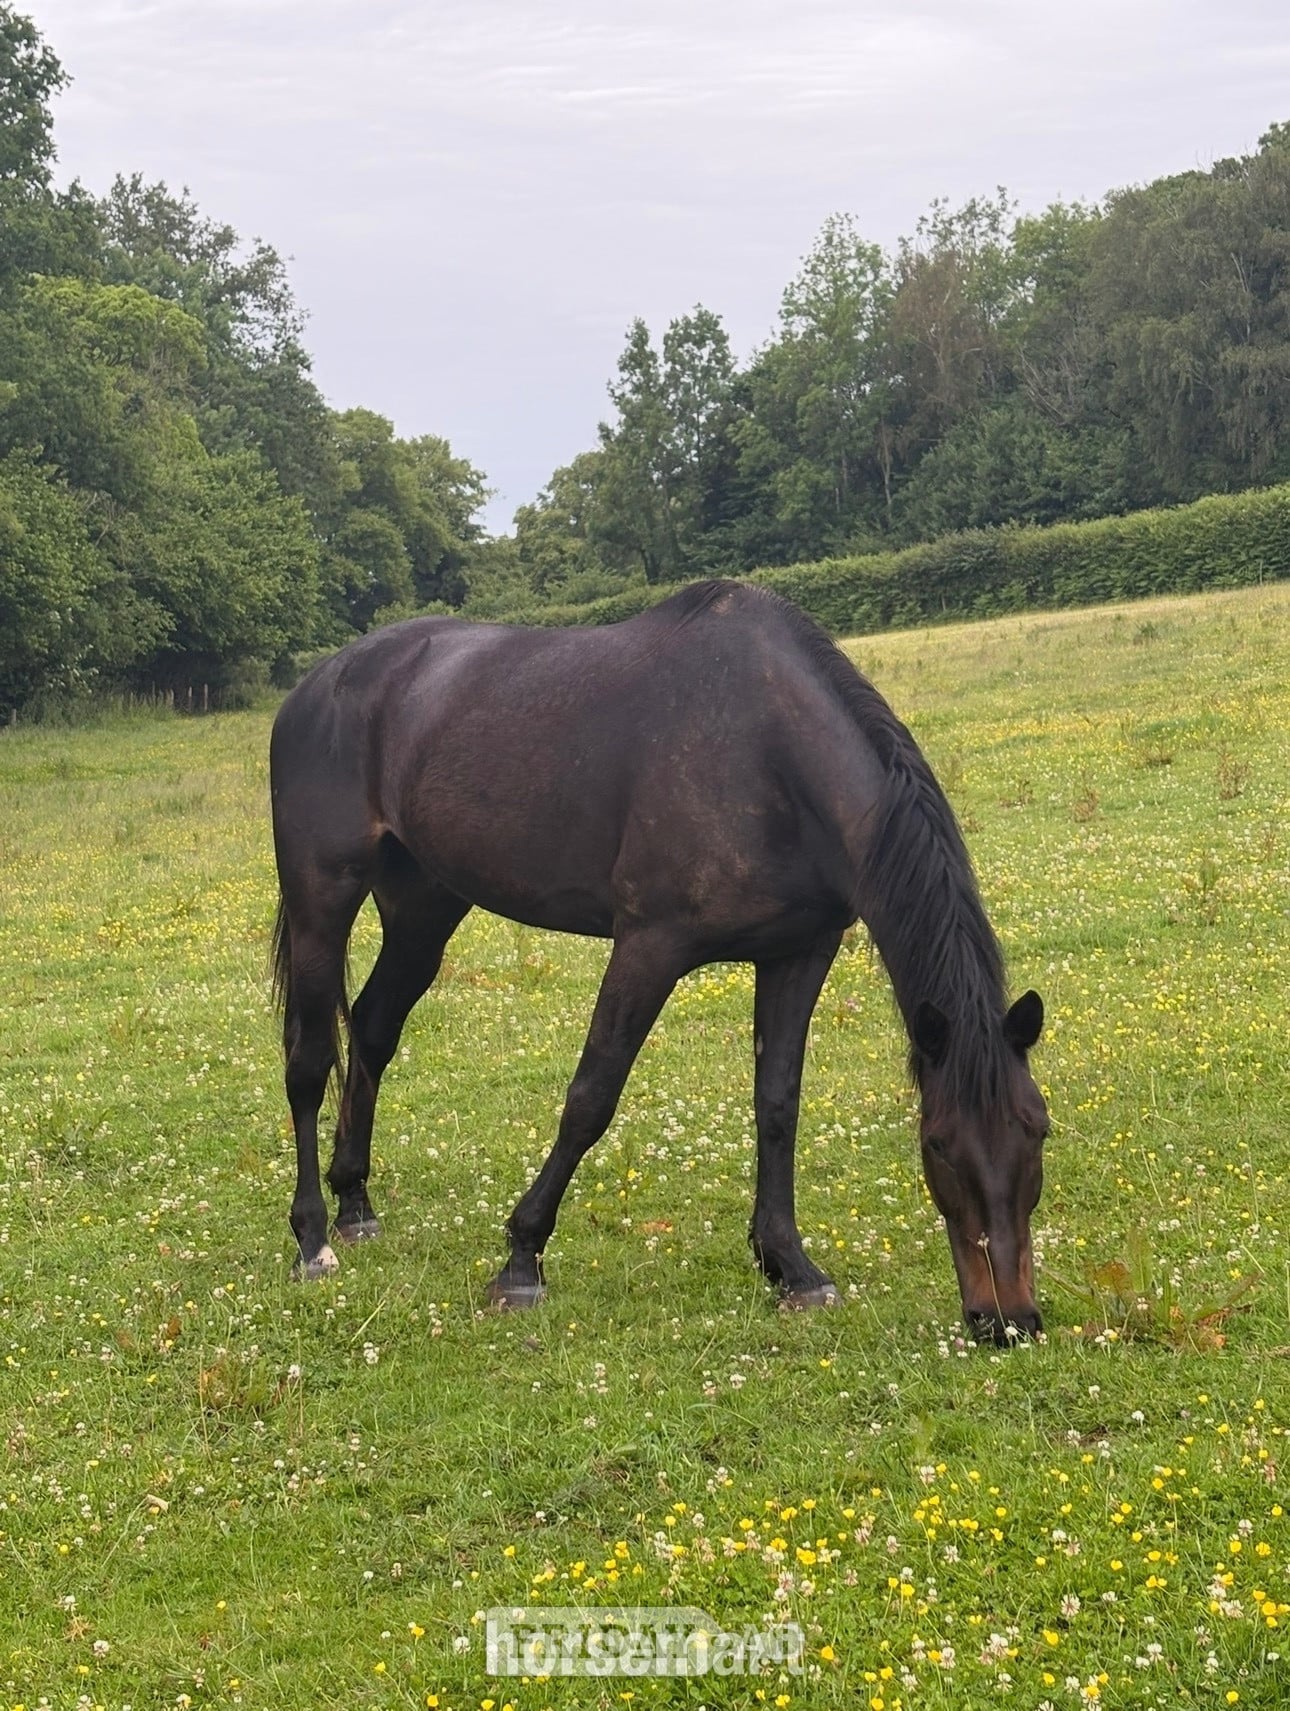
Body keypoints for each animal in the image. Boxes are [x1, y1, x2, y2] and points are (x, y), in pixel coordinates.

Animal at [269, 579, 1048, 1343]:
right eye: (940, 1144)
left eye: (1038, 1128)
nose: (1006, 1321)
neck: (770, 751)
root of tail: (314, 686)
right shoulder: (650, 946)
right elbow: (590, 1097)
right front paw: (522, 1258)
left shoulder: (798, 952)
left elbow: (777, 1103)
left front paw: (790, 1266)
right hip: (322, 896)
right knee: (309, 1060)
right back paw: (313, 1239)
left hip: (424, 908)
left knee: (373, 1027)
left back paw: (356, 1203)